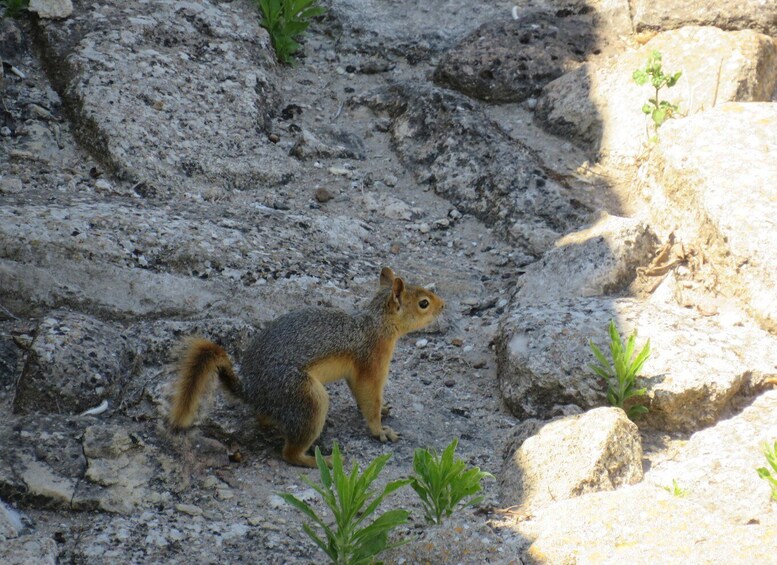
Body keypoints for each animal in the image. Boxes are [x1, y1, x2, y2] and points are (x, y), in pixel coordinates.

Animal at [171, 266, 446, 464]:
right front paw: (381, 430)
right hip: (307, 396)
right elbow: (370, 399)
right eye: (423, 303)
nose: (443, 305)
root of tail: (252, 391)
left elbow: (361, 394)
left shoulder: (356, 372)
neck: (377, 323)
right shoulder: (371, 362)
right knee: (289, 455)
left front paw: (384, 409)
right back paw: (321, 461)